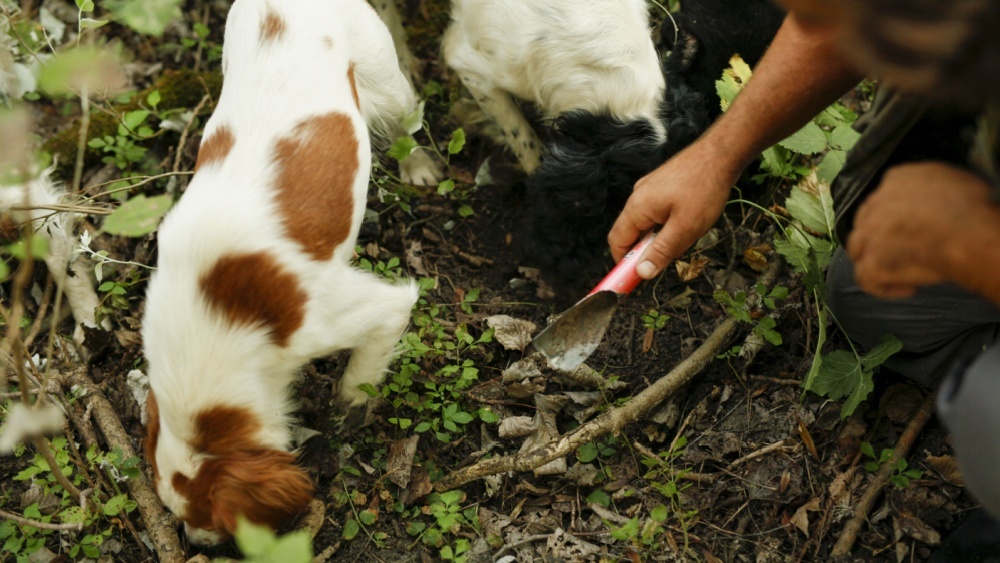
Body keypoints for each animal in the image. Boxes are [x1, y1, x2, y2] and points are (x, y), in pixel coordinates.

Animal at [144, 0, 434, 548]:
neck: (217, 318)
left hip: (385, 78)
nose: (194, 543)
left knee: (407, 117)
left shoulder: (355, 314)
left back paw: (419, 166)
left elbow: (361, 377)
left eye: (213, 518)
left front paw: (348, 409)